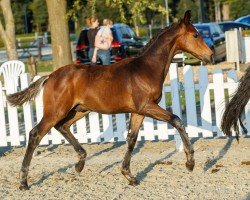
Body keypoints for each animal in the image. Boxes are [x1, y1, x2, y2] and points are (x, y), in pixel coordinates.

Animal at [6, 9, 213, 191]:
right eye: (195, 35)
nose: (210, 55)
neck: (147, 68)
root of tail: (49, 76)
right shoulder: (147, 106)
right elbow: (176, 120)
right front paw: (190, 162)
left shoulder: (138, 111)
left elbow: (131, 139)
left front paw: (129, 176)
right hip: (56, 111)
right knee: (35, 134)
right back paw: (23, 182)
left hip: (79, 110)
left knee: (62, 126)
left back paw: (80, 162)